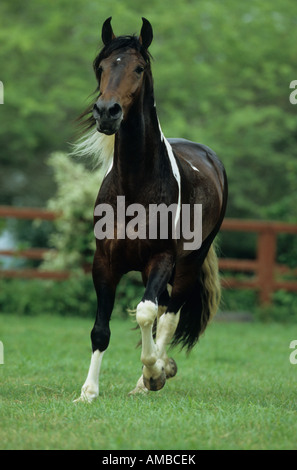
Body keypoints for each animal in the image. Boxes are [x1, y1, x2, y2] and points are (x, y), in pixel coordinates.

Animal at [73, 16, 227, 402]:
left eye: (139, 68)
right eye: (101, 67)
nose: (107, 112)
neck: (134, 188)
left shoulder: (163, 259)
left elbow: (145, 312)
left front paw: (156, 373)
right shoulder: (104, 262)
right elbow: (101, 329)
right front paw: (88, 392)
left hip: (188, 263)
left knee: (169, 313)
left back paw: (153, 374)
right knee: (161, 309)